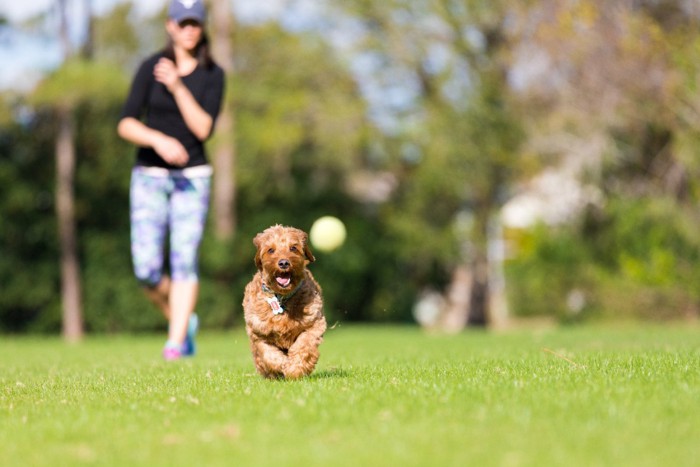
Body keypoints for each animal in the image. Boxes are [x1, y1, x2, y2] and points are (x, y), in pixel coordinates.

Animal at [242, 224, 326, 380]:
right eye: (270, 250)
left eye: (293, 248)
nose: (284, 263)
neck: (281, 298)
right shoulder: (258, 332)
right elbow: (269, 355)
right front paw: (282, 365)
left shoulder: (314, 324)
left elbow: (303, 346)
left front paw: (294, 369)